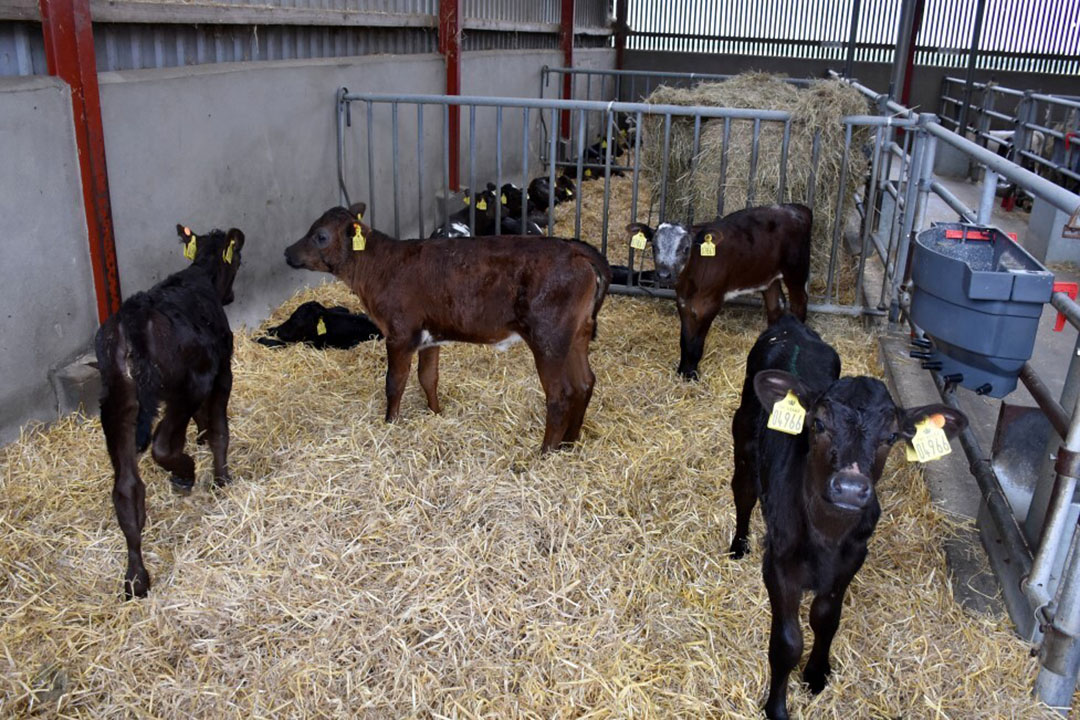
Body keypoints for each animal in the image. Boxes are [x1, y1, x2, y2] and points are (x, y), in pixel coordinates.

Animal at [282, 201, 613, 451]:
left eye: (321, 236)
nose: (287, 252)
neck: (380, 267)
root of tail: (574, 249)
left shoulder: (399, 334)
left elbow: (394, 382)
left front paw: (390, 422)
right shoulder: (429, 337)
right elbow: (428, 377)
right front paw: (436, 413)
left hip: (549, 339)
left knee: (560, 394)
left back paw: (545, 451)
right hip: (577, 335)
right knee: (585, 383)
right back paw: (569, 443)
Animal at [626, 202, 812, 379]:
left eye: (685, 249)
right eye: (654, 247)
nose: (664, 275)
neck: (690, 282)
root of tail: (795, 207)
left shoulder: (711, 303)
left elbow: (696, 343)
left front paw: (691, 375)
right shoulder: (683, 302)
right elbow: (685, 340)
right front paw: (682, 371)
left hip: (796, 270)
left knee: (799, 302)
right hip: (768, 276)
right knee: (776, 305)